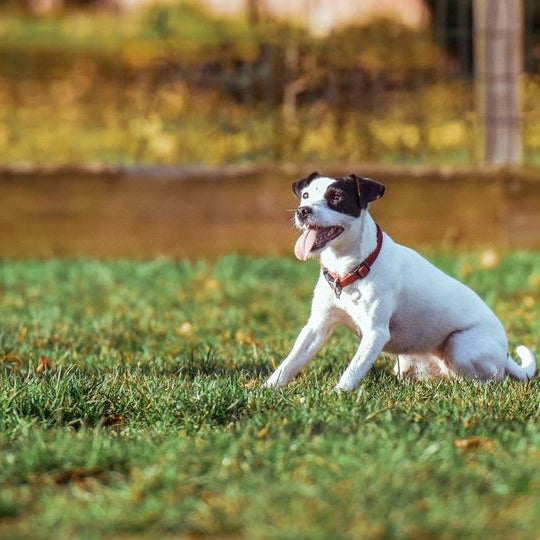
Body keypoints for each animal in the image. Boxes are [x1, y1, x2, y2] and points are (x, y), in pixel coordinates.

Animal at [264, 171, 532, 390]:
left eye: (337, 197)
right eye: (305, 195)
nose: (303, 211)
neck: (351, 268)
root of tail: (506, 355)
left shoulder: (375, 333)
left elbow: (352, 371)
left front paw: (337, 395)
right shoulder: (317, 326)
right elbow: (290, 363)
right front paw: (266, 390)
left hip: (460, 345)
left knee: (489, 380)